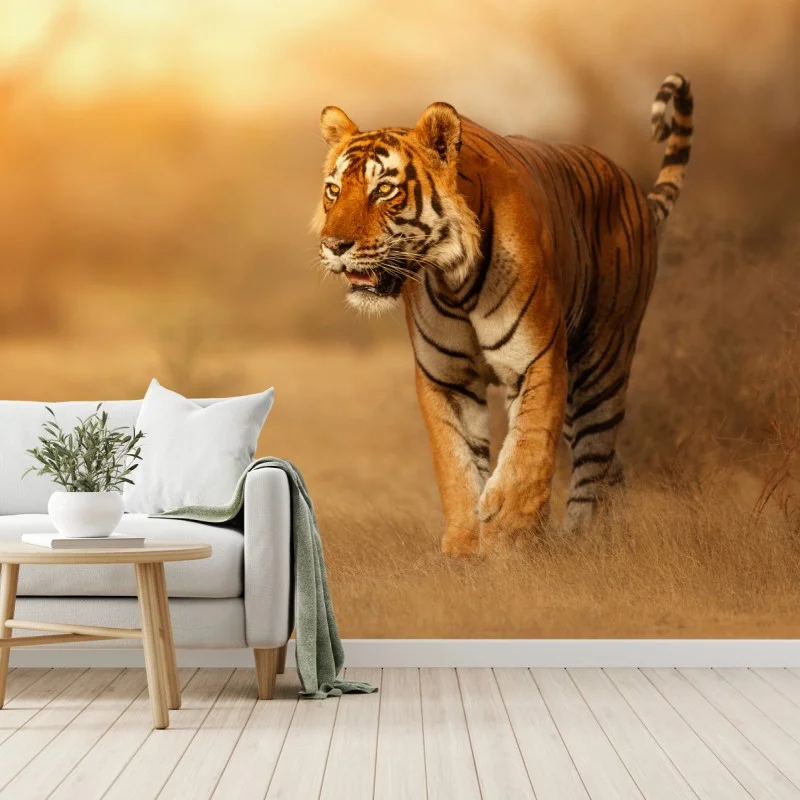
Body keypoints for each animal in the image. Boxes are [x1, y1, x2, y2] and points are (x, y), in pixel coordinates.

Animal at [313, 74, 693, 555]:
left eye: (384, 190)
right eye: (334, 190)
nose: (333, 245)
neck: (453, 279)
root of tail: (635, 191)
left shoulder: (538, 360)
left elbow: (527, 451)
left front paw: (509, 537)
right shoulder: (447, 378)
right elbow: (455, 463)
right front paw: (464, 546)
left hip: (602, 363)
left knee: (594, 458)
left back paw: (581, 539)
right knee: (612, 464)